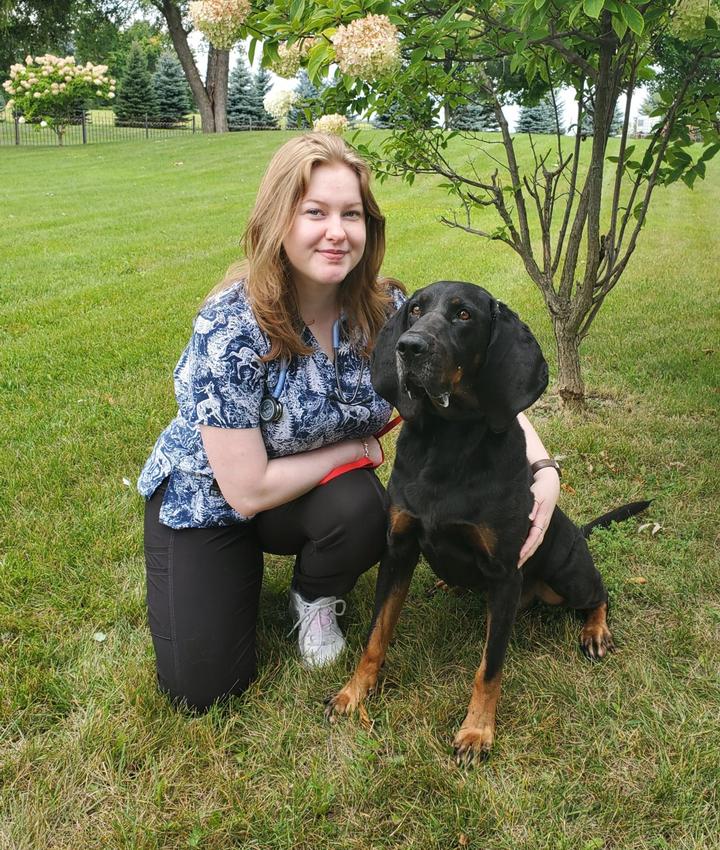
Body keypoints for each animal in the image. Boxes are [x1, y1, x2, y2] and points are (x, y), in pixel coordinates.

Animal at [326, 278, 648, 760]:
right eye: (415, 309)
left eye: (464, 315)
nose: (409, 347)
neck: (446, 441)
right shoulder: (398, 549)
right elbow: (375, 636)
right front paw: (353, 693)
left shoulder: (505, 574)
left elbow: (490, 666)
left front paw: (477, 731)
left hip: (567, 572)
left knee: (600, 592)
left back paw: (595, 630)